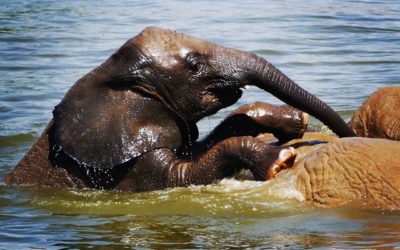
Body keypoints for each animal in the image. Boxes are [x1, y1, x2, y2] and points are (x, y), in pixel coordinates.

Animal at [3, 26, 354, 191]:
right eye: (194, 65)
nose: (349, 134)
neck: (111, 75)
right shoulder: (126, 166)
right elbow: (183, 176)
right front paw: (281, 159)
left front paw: (293, 122)